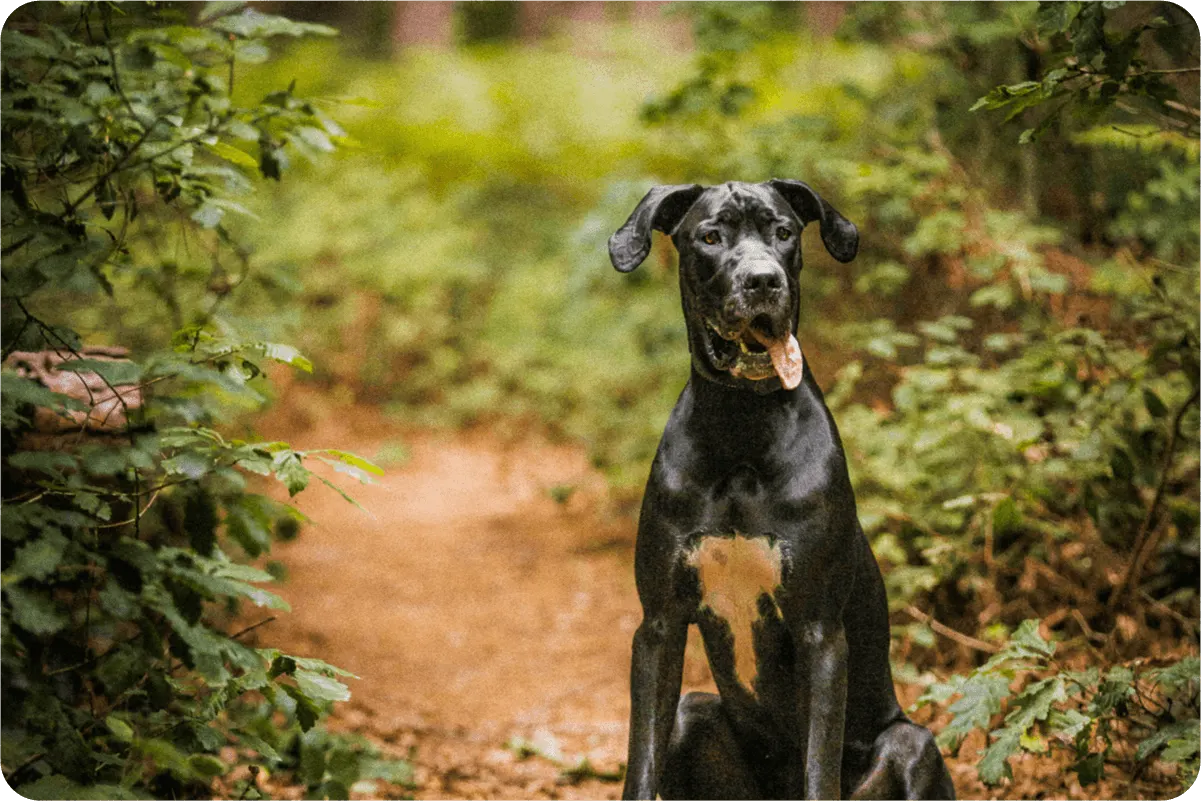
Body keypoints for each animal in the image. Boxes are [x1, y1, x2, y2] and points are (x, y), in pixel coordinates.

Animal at [610, 181, 955, 801]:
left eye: (784, 232)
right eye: (710, 236)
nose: (764, 280)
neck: (742, 429)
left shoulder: (819, 633)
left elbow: (819, 768)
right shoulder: (659, 626)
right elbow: (639, 761)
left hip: (912, 745)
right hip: (691, 717)